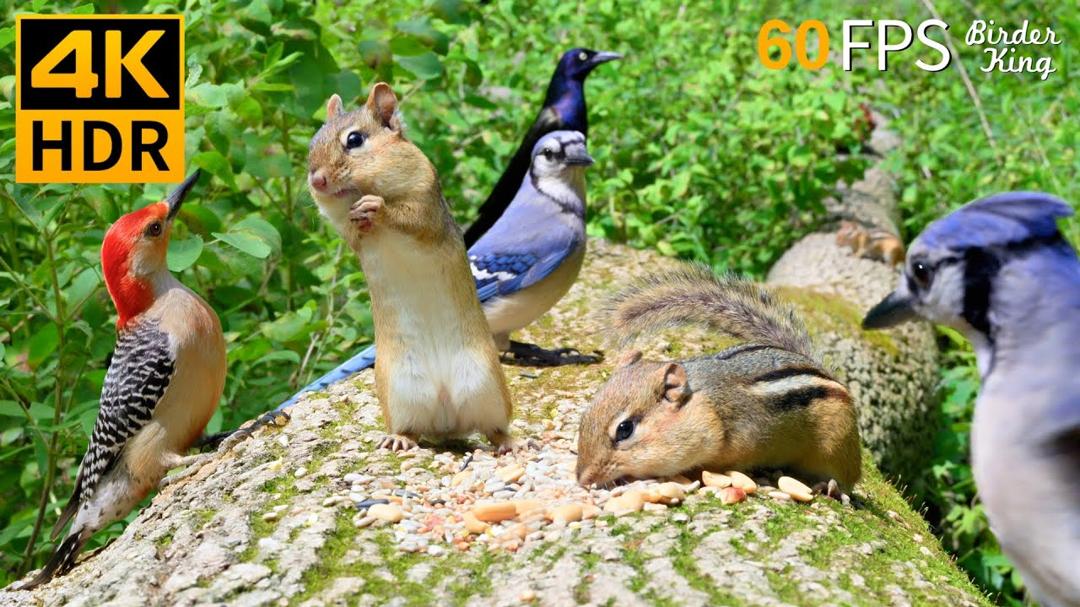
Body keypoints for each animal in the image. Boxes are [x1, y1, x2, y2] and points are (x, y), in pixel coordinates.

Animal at [306, 82, 516, 452]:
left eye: (354, 140)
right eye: (312, 143)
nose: (317, 180)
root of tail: (447, 418)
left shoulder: (424, 203)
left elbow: (411, 219)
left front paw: (376, 208)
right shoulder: (346, 232)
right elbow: (354, 235)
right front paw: (360, 218)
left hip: (489, 385)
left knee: (494, 427)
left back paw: (509, 442)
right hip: (399, 393)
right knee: (411, 428)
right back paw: (399, 439)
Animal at [575, 265, 862, 489]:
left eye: (625, 429)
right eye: (584, 416)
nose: (583, 479)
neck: (707, 405)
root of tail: (817, 366)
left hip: (837, 446)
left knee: (847, 478)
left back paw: (833, 487)